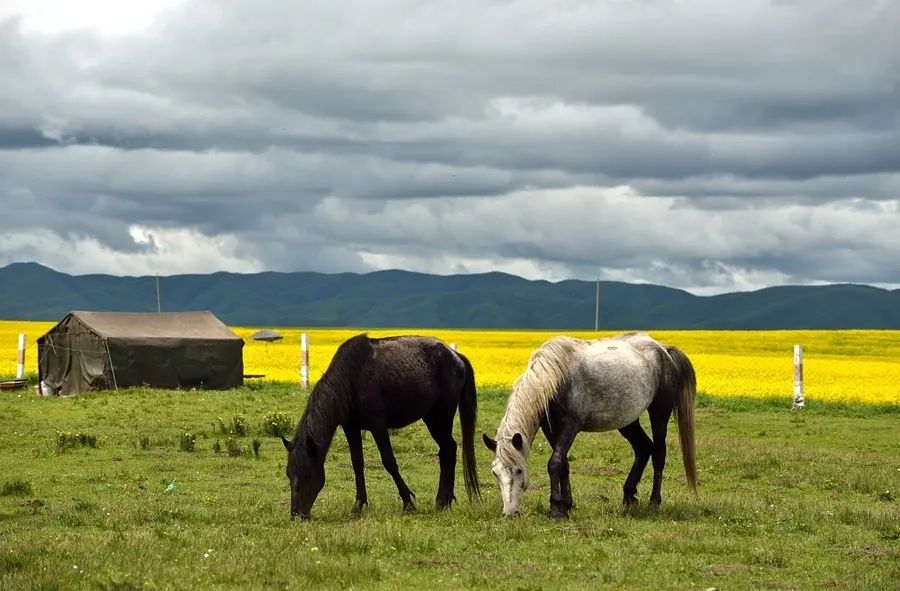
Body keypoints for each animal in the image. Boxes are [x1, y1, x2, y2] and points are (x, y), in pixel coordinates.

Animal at [281, 333, 480, 520]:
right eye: (289, 474)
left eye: (307, 473)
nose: (297, 515)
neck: (352, 379)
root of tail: (456, 356)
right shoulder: (351, 428)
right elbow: (357, 463)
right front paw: (358, 506)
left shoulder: (378, 426)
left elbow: (389, 461)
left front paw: (408, 503)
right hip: (431, 417)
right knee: (447, 450)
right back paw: (445, 500)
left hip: (440, 417)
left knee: (449, 449)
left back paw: (442, 501)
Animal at [482, 332, 697, 518]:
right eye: (495, 473)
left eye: (519, 470)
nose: (509, 513)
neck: (554, 378)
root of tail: (664, 350)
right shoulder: (551, 429)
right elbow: (564, 464)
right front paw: (566, 506)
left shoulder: (570, 426)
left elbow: (554, 463)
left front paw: (555, 508)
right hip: (627, 421)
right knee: (643, 448)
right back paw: (629, 496)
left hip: (659, 413)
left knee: (659, 453)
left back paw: (654, 502)